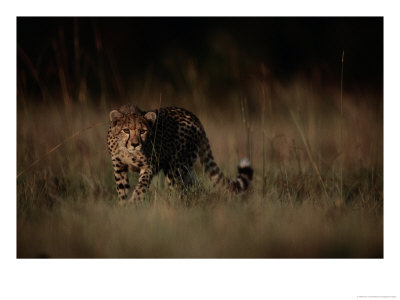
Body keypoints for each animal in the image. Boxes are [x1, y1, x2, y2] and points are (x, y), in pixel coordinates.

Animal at [108, 104, 253, 205]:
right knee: (189, 185)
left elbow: (141, 186)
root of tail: (194, 116)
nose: (135, 144)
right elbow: (122, 189)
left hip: (176, 167)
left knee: (177, 189)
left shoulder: (149, 166)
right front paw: (123, 207)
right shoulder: (119, 167)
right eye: (126, 130)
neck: (127, 151)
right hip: (186, 166)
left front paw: (134, 201)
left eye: (142, 131)